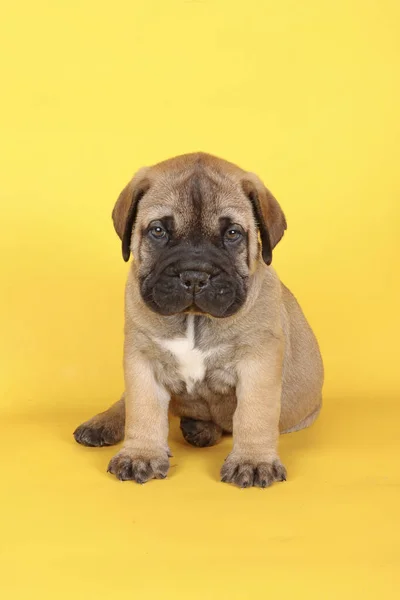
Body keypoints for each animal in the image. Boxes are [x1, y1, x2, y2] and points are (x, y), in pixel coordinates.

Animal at [73, 152, 324, 490]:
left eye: (232, 234)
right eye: (158, 231)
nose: (194, 275)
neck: (193, 319)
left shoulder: (258, 362)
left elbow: (254, 415)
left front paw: (253, 461)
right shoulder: (142, 359)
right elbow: (142, 408)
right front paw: (141, 454)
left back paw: (200, 428)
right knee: (126, 402)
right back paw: (104, 422)